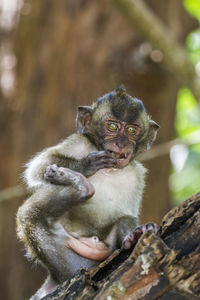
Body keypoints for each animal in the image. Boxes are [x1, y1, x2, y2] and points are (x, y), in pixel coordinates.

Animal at [16, 85, 159, 298]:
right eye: (112, 127)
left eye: (132, 130)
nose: (121, 143)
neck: (110, 169)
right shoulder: (79, 143)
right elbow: (40, 166)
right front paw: (86, 165)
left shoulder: (137, 175)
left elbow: (128, 213)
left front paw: (136, 232)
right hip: (72, 261)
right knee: (30, 214)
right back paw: (80, 185)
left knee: (124, 219)